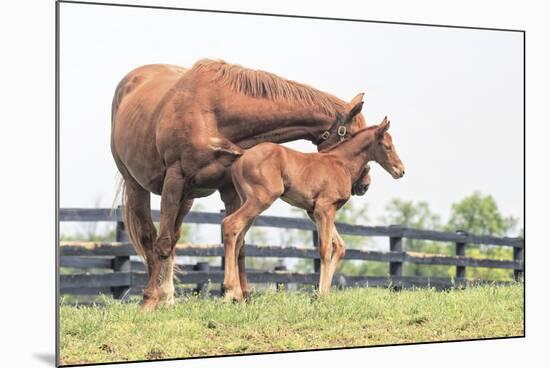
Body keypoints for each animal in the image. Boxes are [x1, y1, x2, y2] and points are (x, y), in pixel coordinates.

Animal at [222, 116, 408, 300]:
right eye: (387, 147)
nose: (401, 170)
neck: (341, 163)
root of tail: (243, 154)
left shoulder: (314, 212)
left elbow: (339, 246)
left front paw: (320, 292)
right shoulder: (325, 208)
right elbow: (326, 249)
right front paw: (322, 295)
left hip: (247, 201)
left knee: (239, 238)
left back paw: (238, 295)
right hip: (261, 199)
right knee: (229, 224)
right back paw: (230, 291)